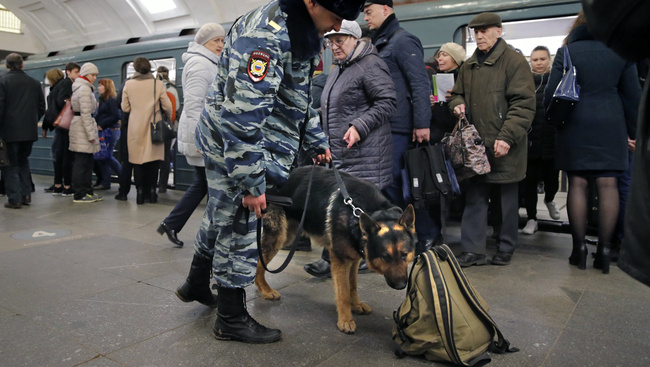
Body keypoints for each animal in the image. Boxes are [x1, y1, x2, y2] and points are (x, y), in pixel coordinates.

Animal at [254, 166, 416, 334]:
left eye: (404, 255)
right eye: (385, 257)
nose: (401, 286)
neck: (357, 213)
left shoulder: (354, 258)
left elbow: (353, 285)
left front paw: (356, 305)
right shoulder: (340, 260)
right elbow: (343, 292)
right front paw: (345, 320)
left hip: (288, 236)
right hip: (278, 237)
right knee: (259, 261)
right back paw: (265, 290)